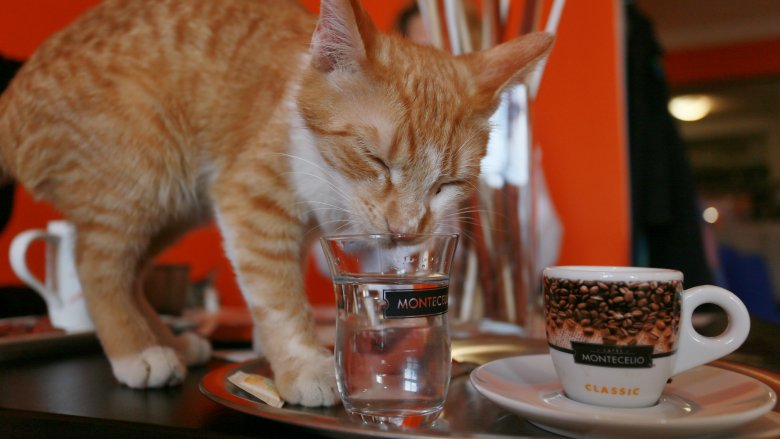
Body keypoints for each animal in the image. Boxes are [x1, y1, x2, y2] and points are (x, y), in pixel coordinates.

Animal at [0, 0, 552, 408]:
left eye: (446, 184)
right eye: (374, 158)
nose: (406, 228)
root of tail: (12, 95)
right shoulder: (252, 199)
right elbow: (278, 294)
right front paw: (305, 364)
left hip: (175, 203)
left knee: (131, 272)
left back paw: (170, 341)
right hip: (142, 176)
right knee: (97, 265)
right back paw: (137, 351)